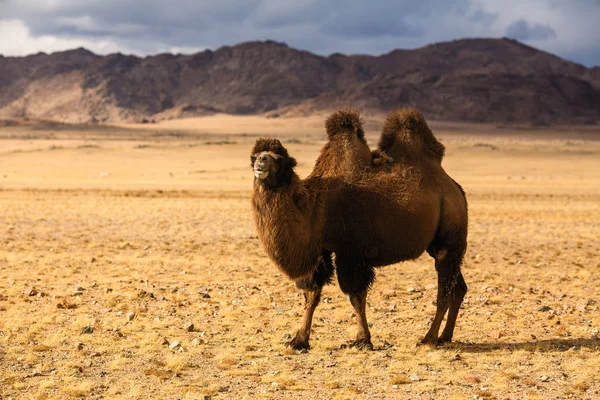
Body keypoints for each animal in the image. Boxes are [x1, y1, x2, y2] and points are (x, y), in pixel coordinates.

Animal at [251, 108, 466, 348]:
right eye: (254, 156)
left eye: (279, 159)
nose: (261, 161)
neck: (315, 207)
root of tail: (455, 188)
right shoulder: (321, 252)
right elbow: (311, 294)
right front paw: (299, 340)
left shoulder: (352, 252)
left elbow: (356, 295)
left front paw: (362, 339)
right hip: (440, 244)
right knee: (458, 287)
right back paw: (445, 336)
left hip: (449, 236)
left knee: (445, 289)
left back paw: (429, 337)